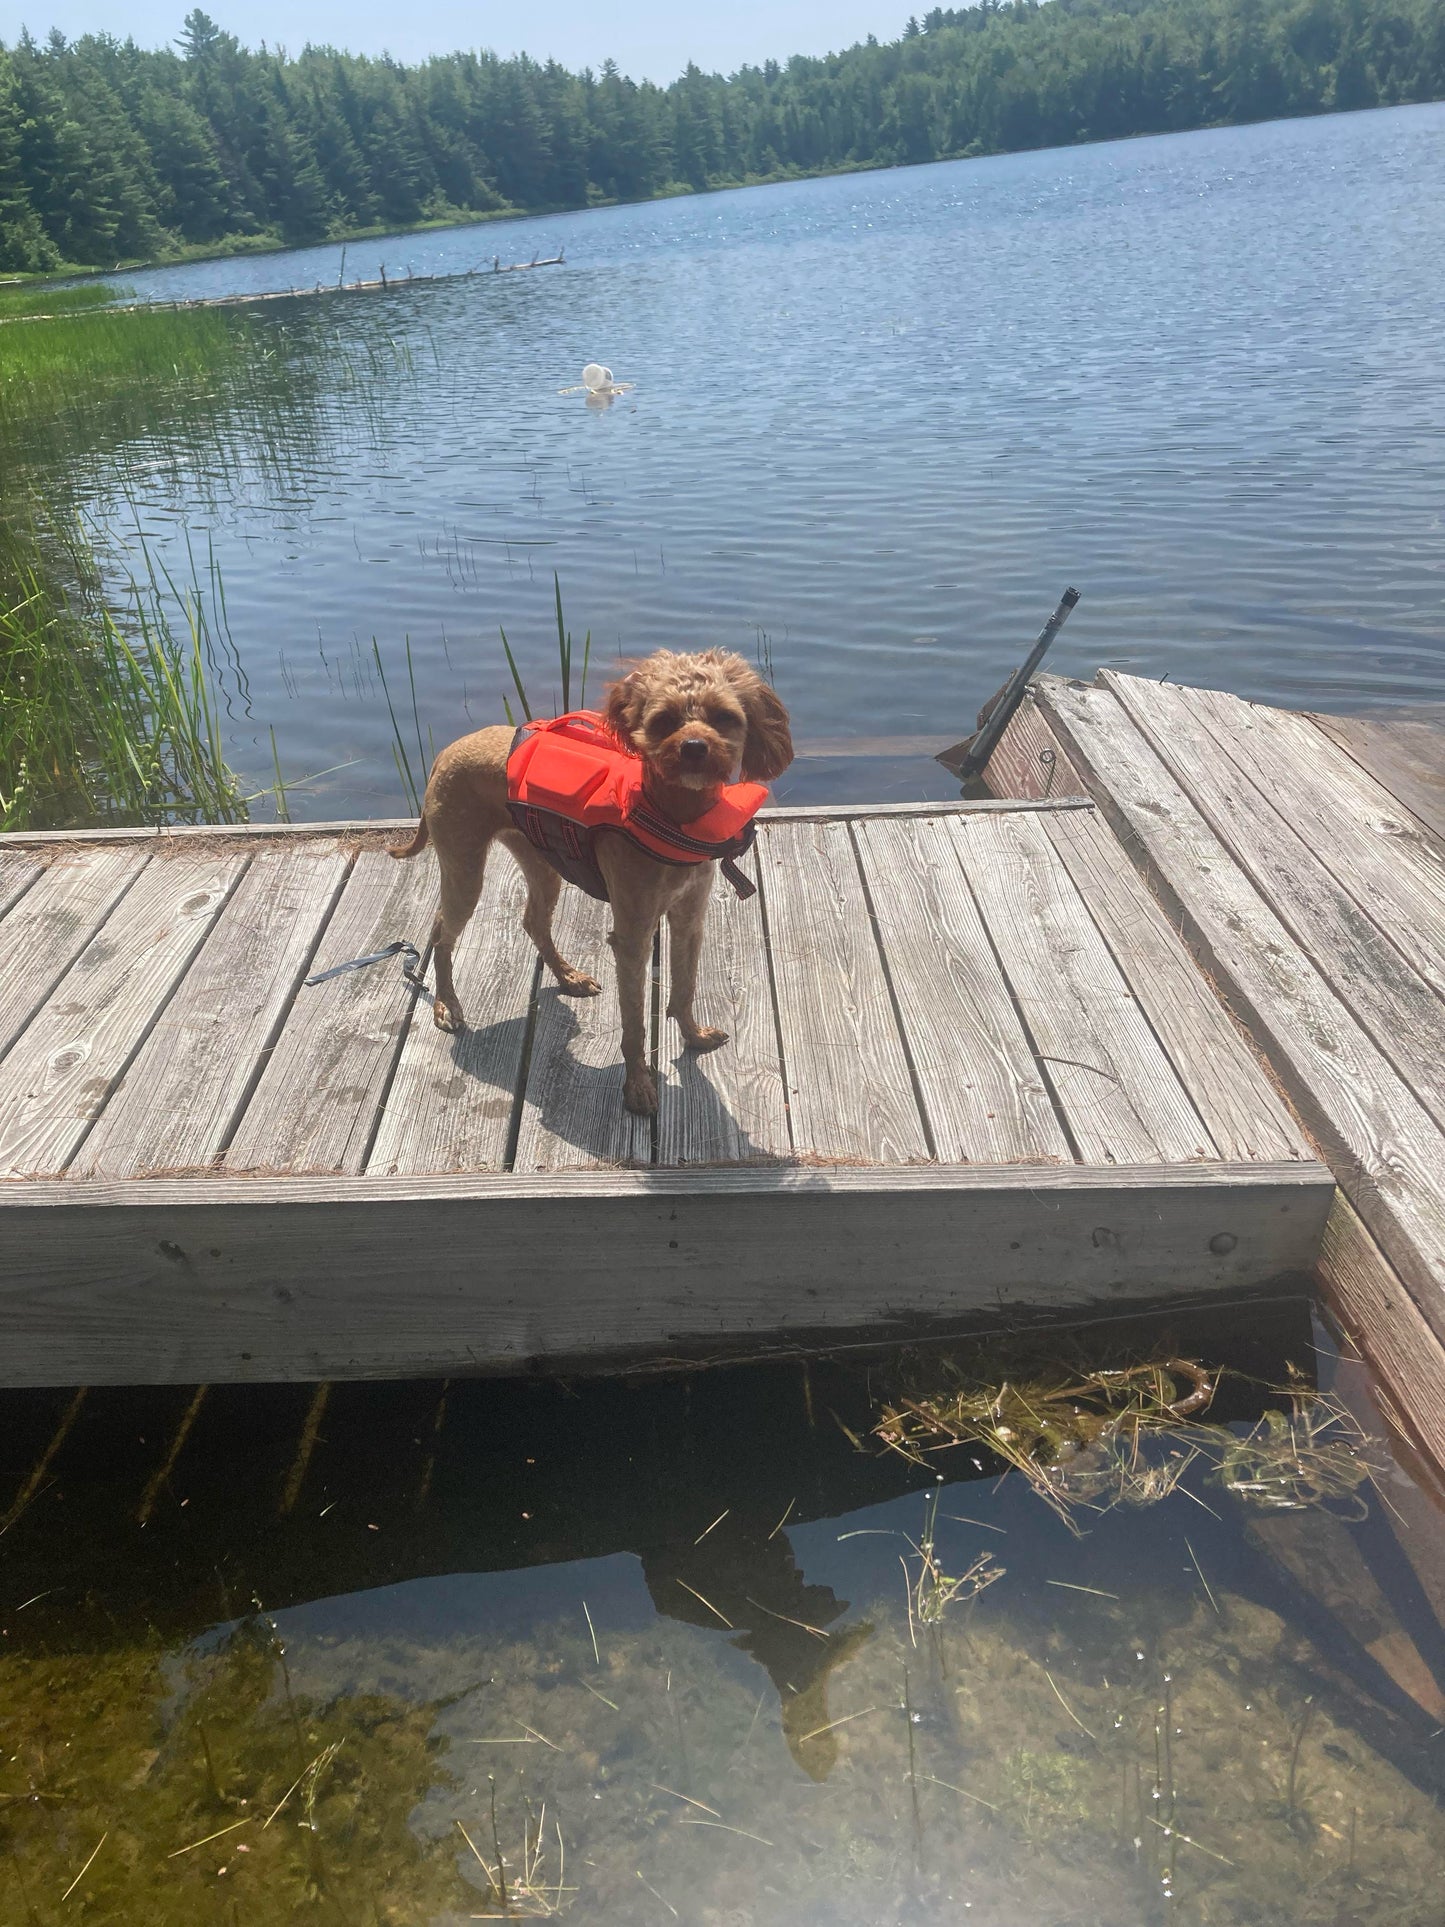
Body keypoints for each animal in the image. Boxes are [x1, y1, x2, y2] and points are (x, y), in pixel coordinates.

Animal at [391, 647, 797, 1117]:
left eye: (724, 716)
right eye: (664, 720)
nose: (695, 748)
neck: (671, 813)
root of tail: (444, 752)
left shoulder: (689, 919)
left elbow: (684, 988)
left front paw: (693, 1036)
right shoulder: (632, 937)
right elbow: (634, 1024)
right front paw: (638, 1087)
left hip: (540, 862)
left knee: (531, 921)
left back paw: (568, 976)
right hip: (465, 867)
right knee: (442, 932)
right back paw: (446, 1004)